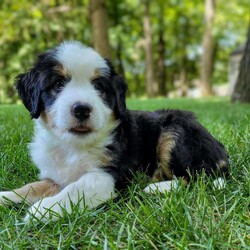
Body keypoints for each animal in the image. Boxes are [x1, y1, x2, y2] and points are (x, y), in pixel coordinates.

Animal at [0, 42, 229, 222]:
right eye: (57, 84)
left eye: (99, 87)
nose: (82, 109)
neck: (74, 146)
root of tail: (221, 151)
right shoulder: (55, 177)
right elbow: (31, 187)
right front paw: (6, 196)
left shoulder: (110, 175)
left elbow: (78, 188)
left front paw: (43, 210)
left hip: (174, 133)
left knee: (195, 177)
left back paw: (157, 188)